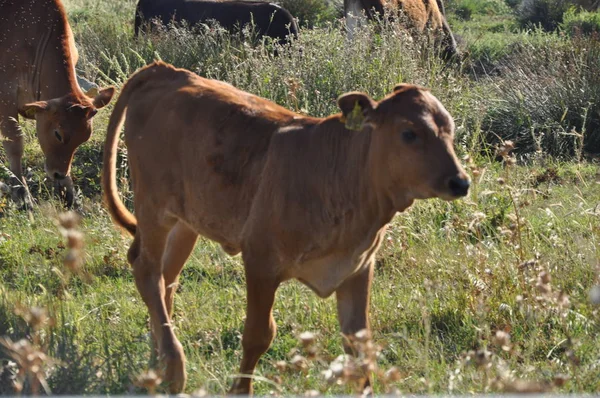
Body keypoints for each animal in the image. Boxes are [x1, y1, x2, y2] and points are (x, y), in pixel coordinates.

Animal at [0, 0, 114, 207]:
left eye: (84, 138)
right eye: (58, 134)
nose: (58, 174)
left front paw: (71, 194)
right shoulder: (5, 93)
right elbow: (14, 143)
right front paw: (22, 193)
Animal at [102, 60, 468, 394]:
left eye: (450, 129)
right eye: (409, 133)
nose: (460, 181)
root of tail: (167, 70)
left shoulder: (358, 266)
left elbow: (358, 343)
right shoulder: (260, 260)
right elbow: (257, 335)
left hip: (186, 221)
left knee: (166, 279)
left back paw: (158, 364)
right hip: (154, 207)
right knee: (146, 270)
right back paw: (175, 368)